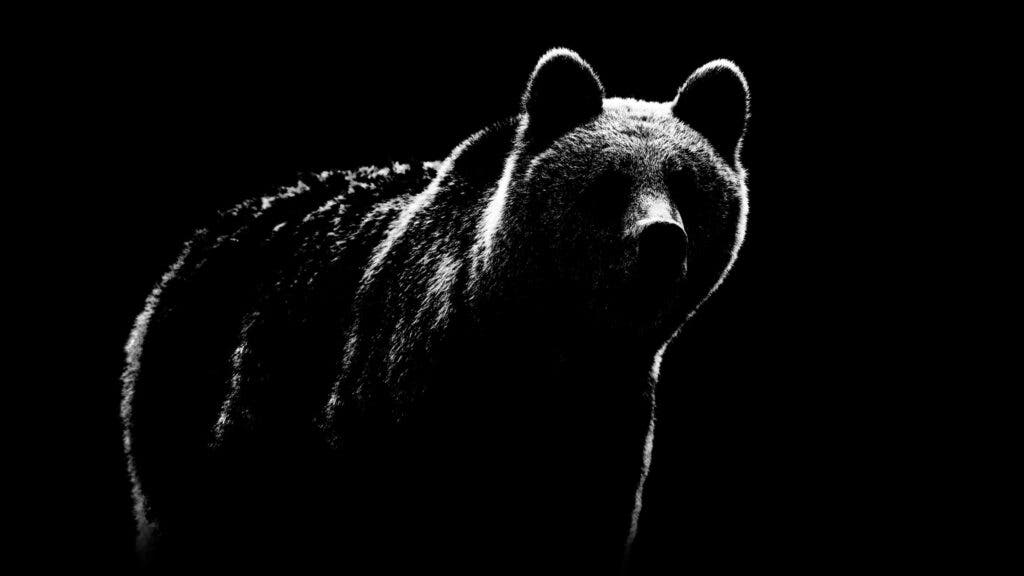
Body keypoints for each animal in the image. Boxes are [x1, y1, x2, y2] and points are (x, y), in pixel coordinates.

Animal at [121, 48, 750, 573]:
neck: (542, 343)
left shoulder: (603, 423)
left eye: (688, 185)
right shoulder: (399, 401)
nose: (662, 239)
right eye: (607, 186)